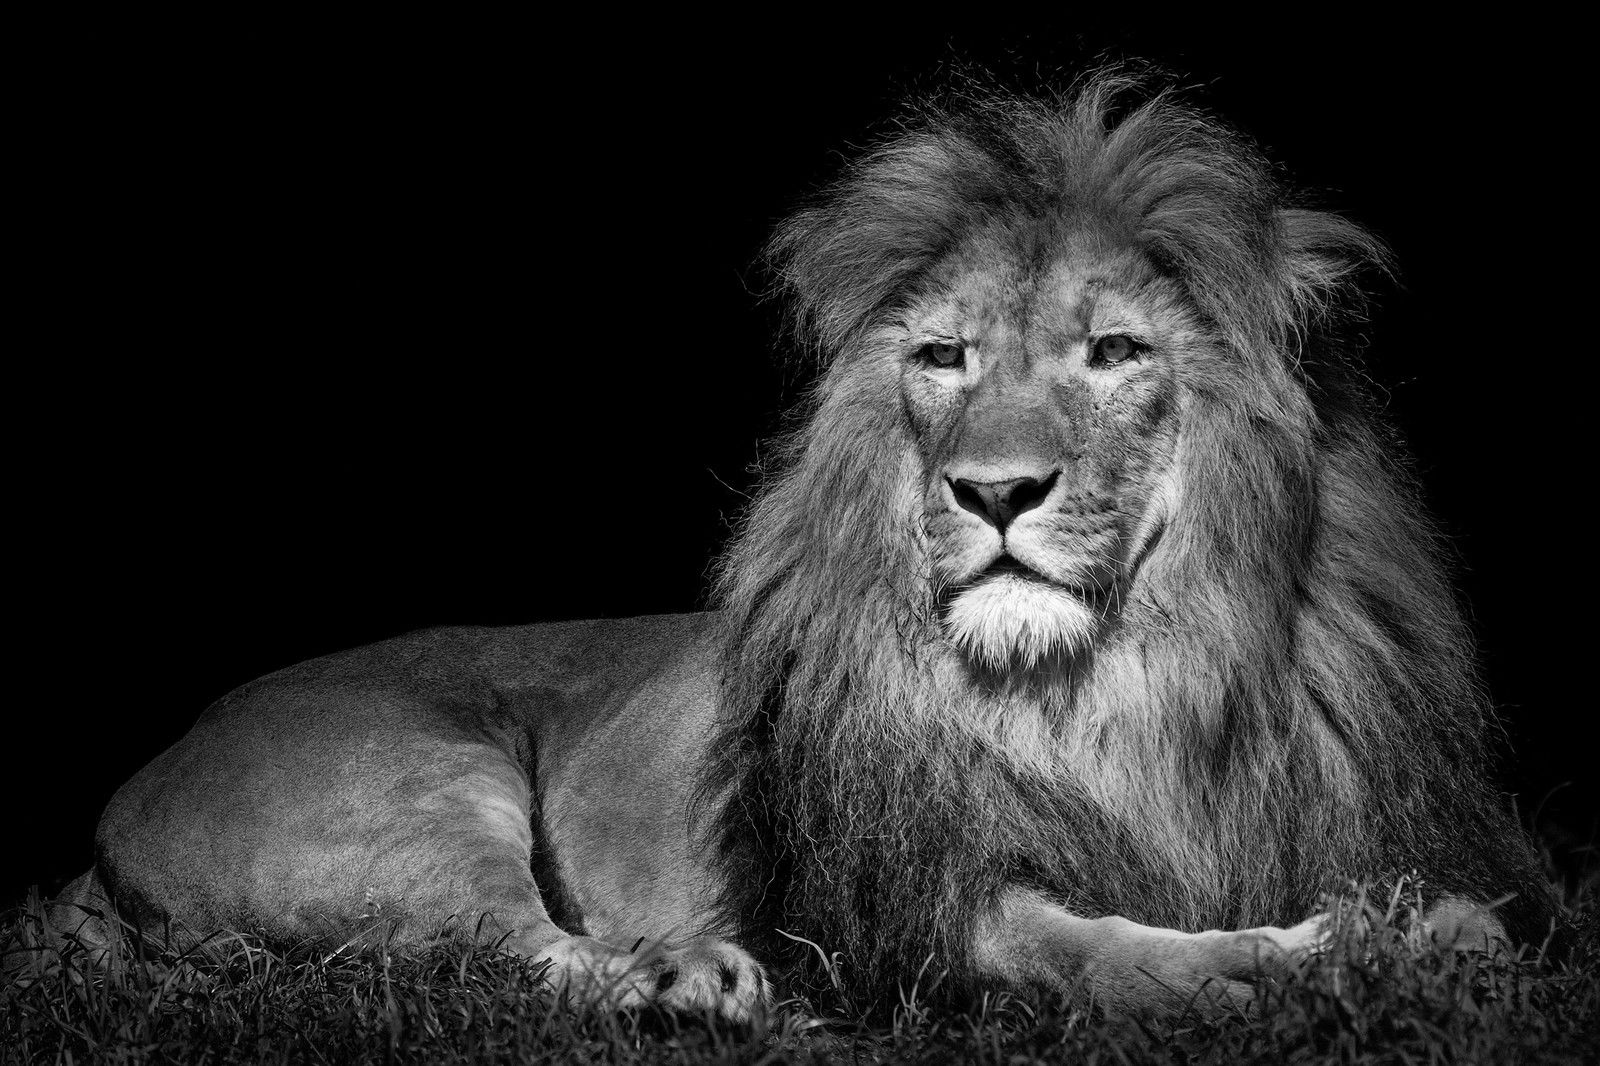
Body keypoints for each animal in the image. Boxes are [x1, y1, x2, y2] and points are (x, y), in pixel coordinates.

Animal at [43, 71, 1549, 1022]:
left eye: (1116, 350)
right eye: (944, 356)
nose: (992, 491)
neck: (1118, 684)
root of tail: (147, 769)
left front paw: (1435, 929)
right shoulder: (914, 904)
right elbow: (1098, 950)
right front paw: (1290, 959)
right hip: (410, 791)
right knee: (508, 949)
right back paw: (680, 981)